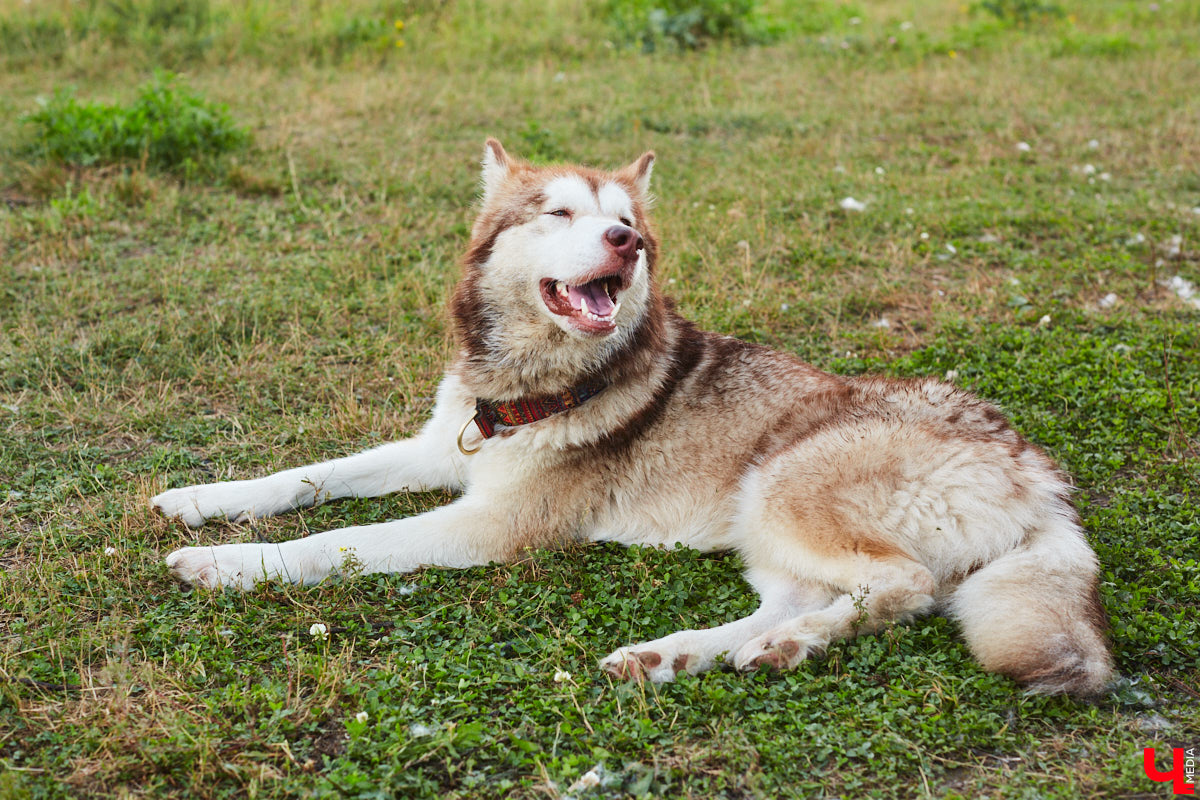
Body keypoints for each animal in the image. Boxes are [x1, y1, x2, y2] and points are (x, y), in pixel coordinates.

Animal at [157, 140, 1113, 695]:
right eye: (559, 212)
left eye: (623, 220)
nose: (627, 243)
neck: (530, 380)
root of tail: (1038, 470)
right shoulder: (444, 449)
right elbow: (308, 479)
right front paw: (204, 502)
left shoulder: (491, 524)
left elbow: (339, 543)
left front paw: (229, 564)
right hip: (762, 528)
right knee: (810, 596)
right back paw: (679, 654)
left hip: (783, 484)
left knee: (904, 587)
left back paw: (785, 647)